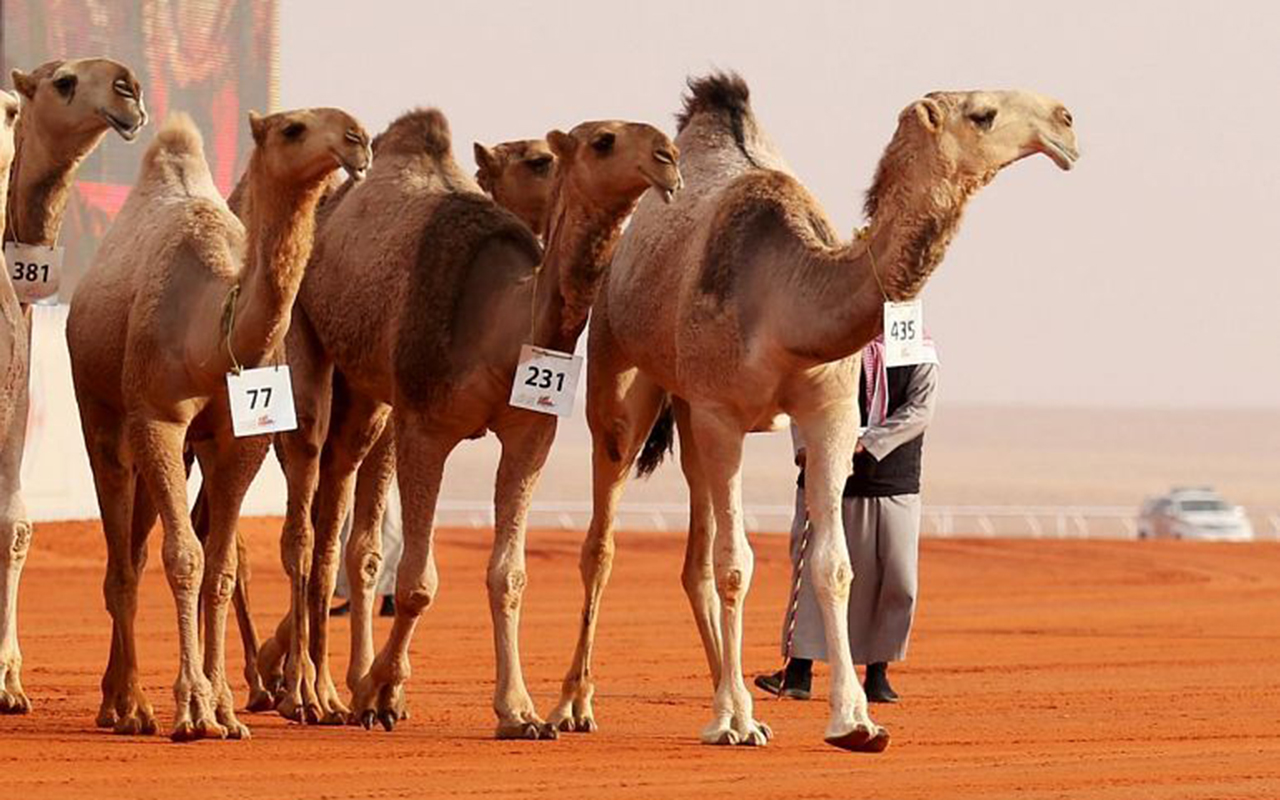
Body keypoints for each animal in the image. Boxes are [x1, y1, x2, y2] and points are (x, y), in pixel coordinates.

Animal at [66, 108, 370, 740]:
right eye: (293, 128)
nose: (357, 138)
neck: (209, 333)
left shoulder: (240, 440)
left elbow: (222, 568)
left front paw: (225, 709)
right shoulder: (156, 418)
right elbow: (185, 558)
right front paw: (191, 708)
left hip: (184, 447)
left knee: (139, 552)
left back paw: (125, 700)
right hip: (99, 411)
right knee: (122, 559)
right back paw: (128, 707)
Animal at [261, 108, 680, 737]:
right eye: (604, 141)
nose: (669, 158)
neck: (499, 327)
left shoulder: (529, 434)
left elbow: (508, 575)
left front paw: (519, 711)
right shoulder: (427, 426)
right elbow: (417, 582)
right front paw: (379, 691)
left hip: (371, 397)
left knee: (346, 522)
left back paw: (324, 686)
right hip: (308, 348)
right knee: (309, 515)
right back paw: (308, 693)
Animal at [548, 74, 1078, 750]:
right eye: (982, 114)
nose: (1066, 122)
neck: (786, 300)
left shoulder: (831, 414)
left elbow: (833, 565)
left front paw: (854, 720)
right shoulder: (722, 413)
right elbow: (736, 564)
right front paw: (734, 722)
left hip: (690, 412)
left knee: (694, 555)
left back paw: (734, 695)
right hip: (621, 367)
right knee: (604, 538)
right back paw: (575, 705)